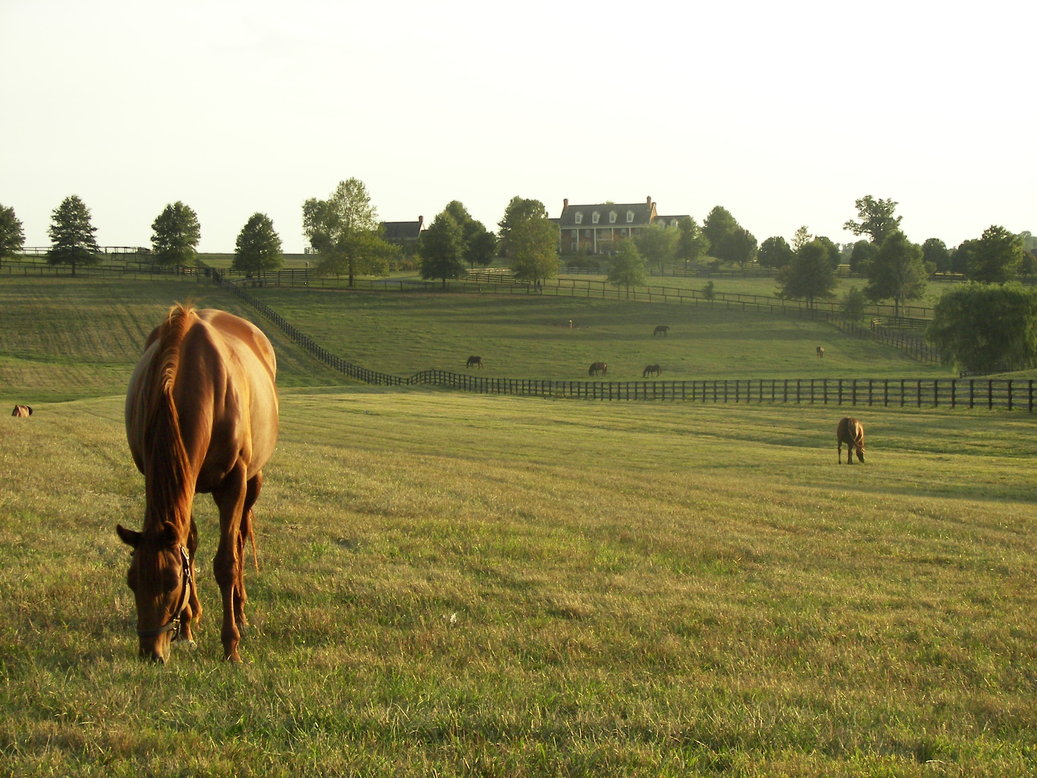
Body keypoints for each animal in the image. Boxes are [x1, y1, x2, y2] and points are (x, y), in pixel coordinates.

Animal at [118, 304, 279, 663]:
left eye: (171, 582)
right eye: (132, 581)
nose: (150, 652)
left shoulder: (233, 483)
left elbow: (226, 563)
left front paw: (231, 645)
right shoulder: (182, 482)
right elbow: (188, 547)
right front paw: (188, 627)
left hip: (252, 481)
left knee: (240, 540)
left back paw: (241, 612)